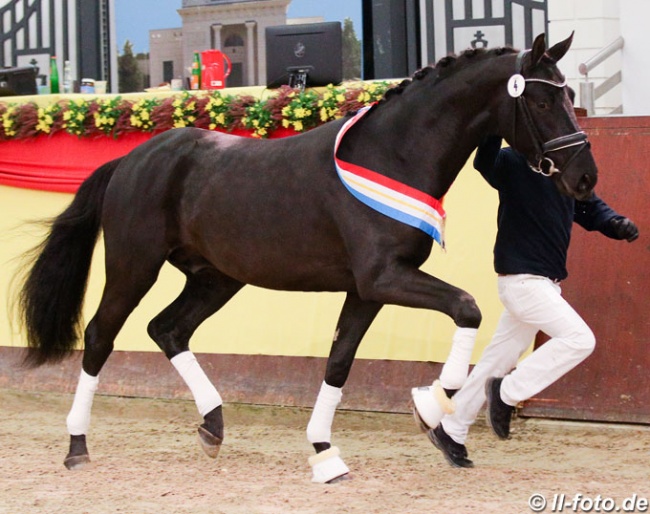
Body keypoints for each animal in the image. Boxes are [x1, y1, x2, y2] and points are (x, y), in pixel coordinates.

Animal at [16, 33, 592, 480]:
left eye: (568, 94)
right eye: (543, 103)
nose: (585, 177)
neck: (392, 154)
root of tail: (132, 159)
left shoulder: (366, 289)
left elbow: (339, 362)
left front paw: (325, 453)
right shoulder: (385, 277)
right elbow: (467, 307)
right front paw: (431, 404)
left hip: (215, 278)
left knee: (168, 329)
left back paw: (212, 426)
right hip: (134, 266)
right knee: (100, 337)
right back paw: (77, 447)